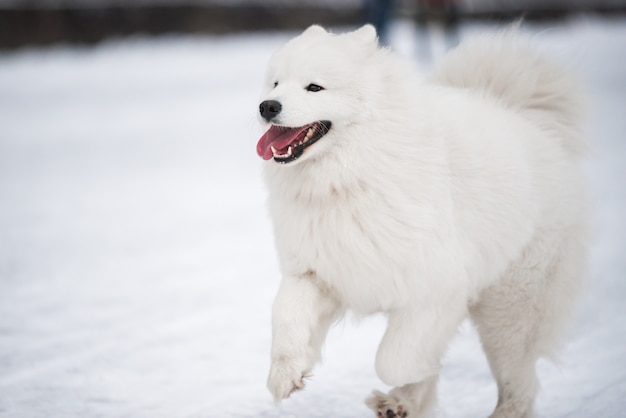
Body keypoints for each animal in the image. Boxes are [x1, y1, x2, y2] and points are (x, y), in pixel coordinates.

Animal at [254, 25, 584, 418]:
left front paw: (415, 379)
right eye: (275, 83)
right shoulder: (317, 271)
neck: (349, 178)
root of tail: (530, 119)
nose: (267, 106)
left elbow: (393, 361)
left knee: (520, 386)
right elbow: (284, 314)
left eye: (314, 87)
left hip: (509, 311)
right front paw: (286, 373)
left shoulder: (435, 289)